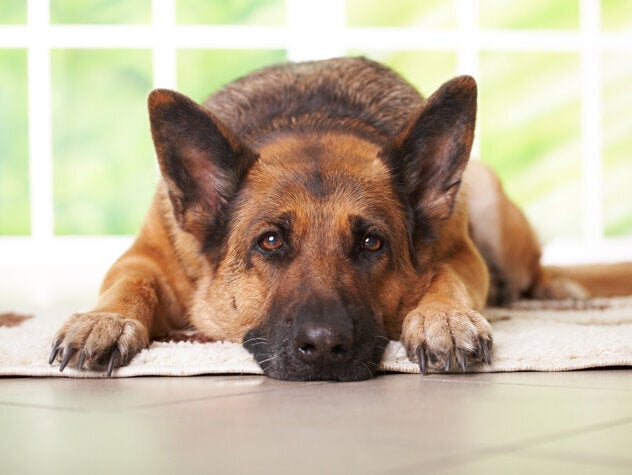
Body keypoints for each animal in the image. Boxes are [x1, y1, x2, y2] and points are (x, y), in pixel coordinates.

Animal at [48, 56, 624, 384]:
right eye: (270, 241)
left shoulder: (461, 253)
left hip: (483, 191)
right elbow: (131, 281)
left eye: (371, 243)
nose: (325, 347)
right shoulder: (145, 254)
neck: (312, 119)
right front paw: (104, 320)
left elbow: (446, 275)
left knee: (534, 271)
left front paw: (442, 318)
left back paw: (559, 290)